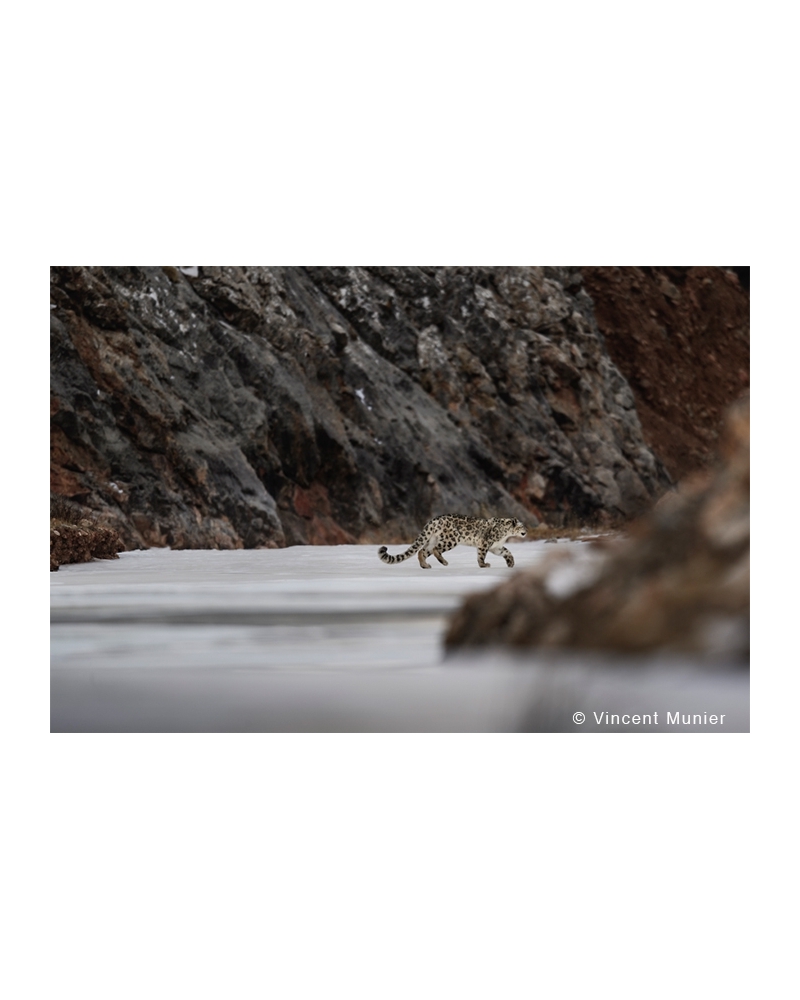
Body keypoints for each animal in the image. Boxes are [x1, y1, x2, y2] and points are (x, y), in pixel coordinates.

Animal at [378, 516, 528, 572]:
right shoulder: (485, 543)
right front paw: (484, 565)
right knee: (436, 550)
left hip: (432, 539)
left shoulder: (496, 547)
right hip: (452, 539)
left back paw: (425, 565)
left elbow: (507, 552)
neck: (506, 534)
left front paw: (511, 563)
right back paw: (444, 562)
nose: (525, 532)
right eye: (522, 526)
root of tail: (434, 520)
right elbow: (481, 555)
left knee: (422, 551)